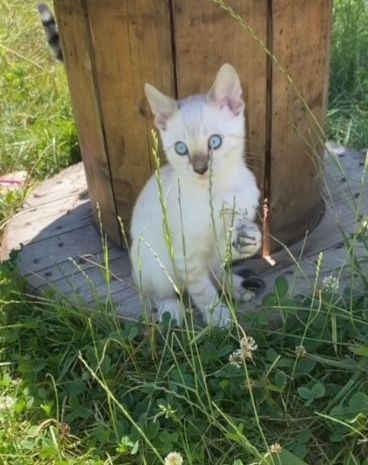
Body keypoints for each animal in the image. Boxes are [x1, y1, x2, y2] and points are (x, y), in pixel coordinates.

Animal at [129, 62, 262, 326]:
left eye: (214, 142)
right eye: (181, 149)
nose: (200, 168)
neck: (217, 191)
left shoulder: (228, 230)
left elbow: (237, 240)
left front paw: (251, 239)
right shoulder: (186, 254)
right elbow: (203, 292)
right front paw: (219, 318)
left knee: (218, 271)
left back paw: (238, 287)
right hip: (153, 264)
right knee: (160, 292)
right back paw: (172, 311)